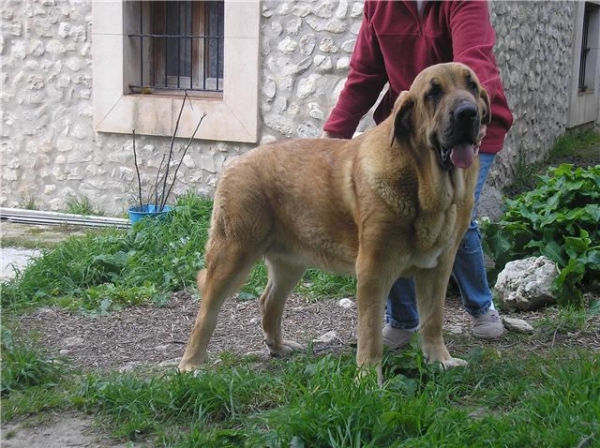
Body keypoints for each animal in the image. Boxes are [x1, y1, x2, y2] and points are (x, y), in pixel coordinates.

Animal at [180, 61, 490, 380]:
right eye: (433, 93)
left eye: (472, 86)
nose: (468, 112)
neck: (423, 183)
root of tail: (235, 163)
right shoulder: (373, 269)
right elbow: (370, 331)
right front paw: (368, 378)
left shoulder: (438, 267)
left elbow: (433, 318)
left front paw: (440, 360)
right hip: (233, 254)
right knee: (206, 312)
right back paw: (190, 364)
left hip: (290, 262)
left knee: (270, 301)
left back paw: (278, 346)